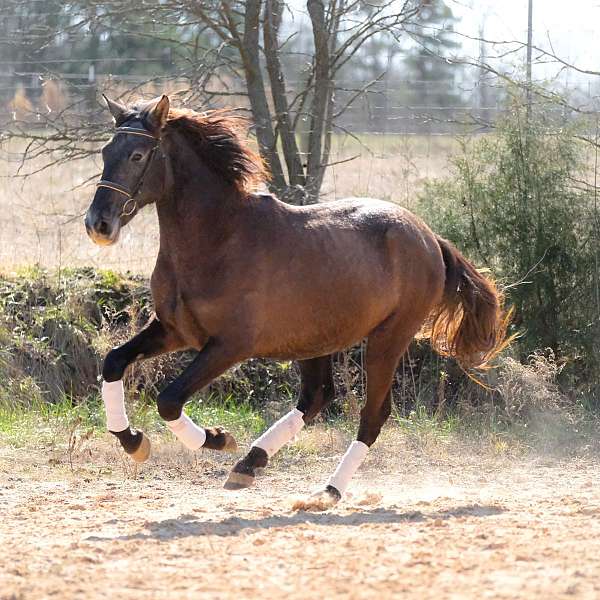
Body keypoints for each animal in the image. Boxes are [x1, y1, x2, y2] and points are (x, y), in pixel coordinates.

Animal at [84, 95, 510, 506]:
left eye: (138, 155)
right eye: (106, 151)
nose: (98, 224)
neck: (218, 238)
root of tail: (428, 236)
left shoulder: (230, 345)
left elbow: (169, 400)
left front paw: (217, 438)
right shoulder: (175, 330)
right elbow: (114, 362)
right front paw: (133, 441)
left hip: (387, 340)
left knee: (372, 414)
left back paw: (327, 491)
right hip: (315, 340)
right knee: (316, 397)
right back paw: (249, 465)